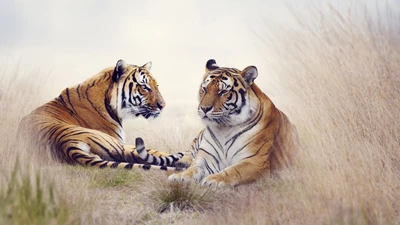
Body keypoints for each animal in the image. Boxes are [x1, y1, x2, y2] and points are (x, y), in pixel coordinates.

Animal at [167, 59, 298, 186]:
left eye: (223, 91)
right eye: (204, 89)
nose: (204, 108)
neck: (224, 128)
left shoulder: (255, 161)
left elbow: (234, 170)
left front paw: (214, 179)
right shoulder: (206, 156)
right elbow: (195, 167)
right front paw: (181, 176)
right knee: (190, 150)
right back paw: (183, 163)